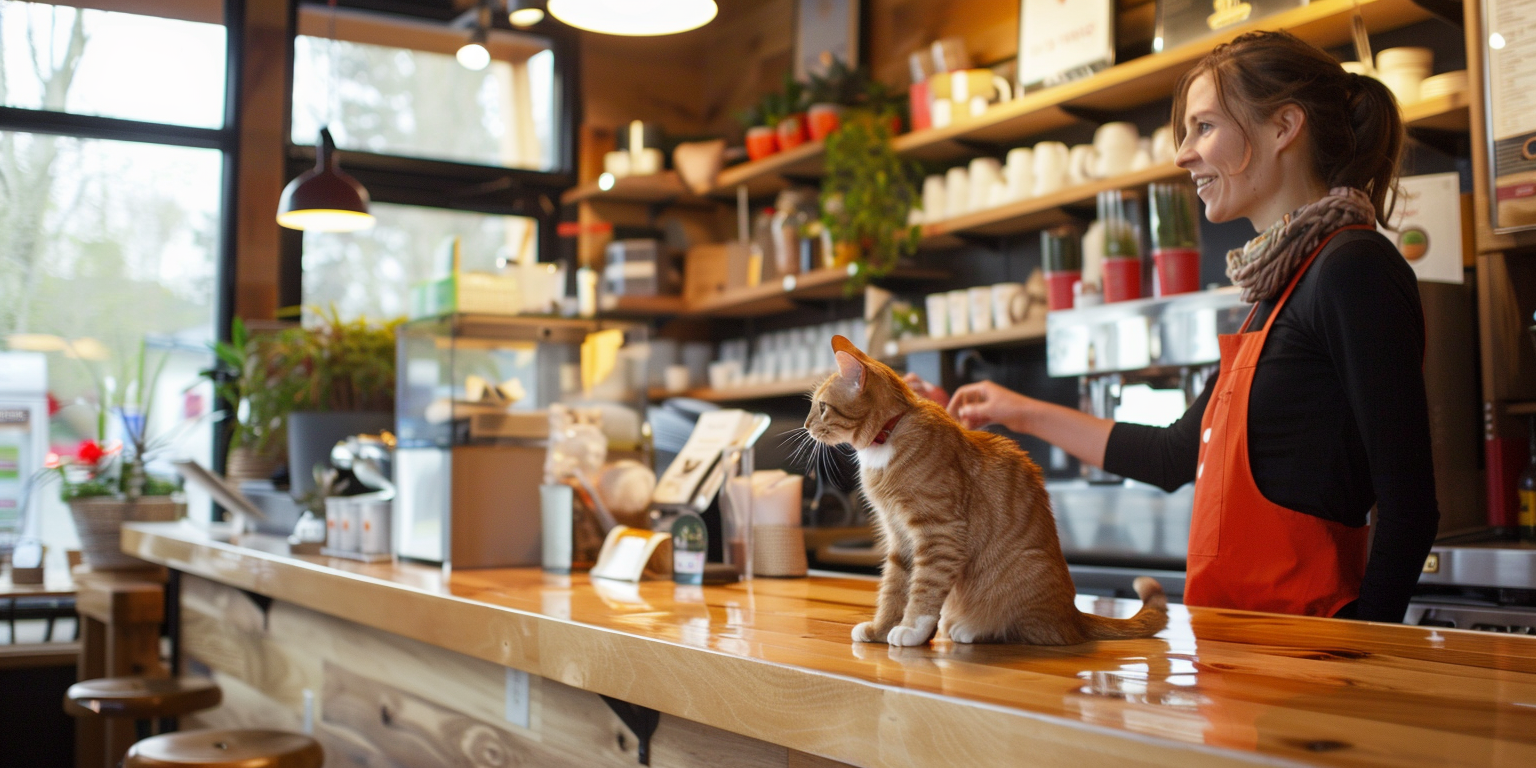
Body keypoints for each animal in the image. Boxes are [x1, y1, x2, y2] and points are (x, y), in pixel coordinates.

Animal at [804, 339, 1161, 645]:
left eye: (822, 407)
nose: (806, 426)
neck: (888, 436)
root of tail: (1075, 615)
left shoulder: (939, 534)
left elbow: (924, 588)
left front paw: (912, 629)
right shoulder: (899, 537)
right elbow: (893, 588)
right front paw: (881, 629)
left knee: (1027, 629)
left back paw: (971, 629)